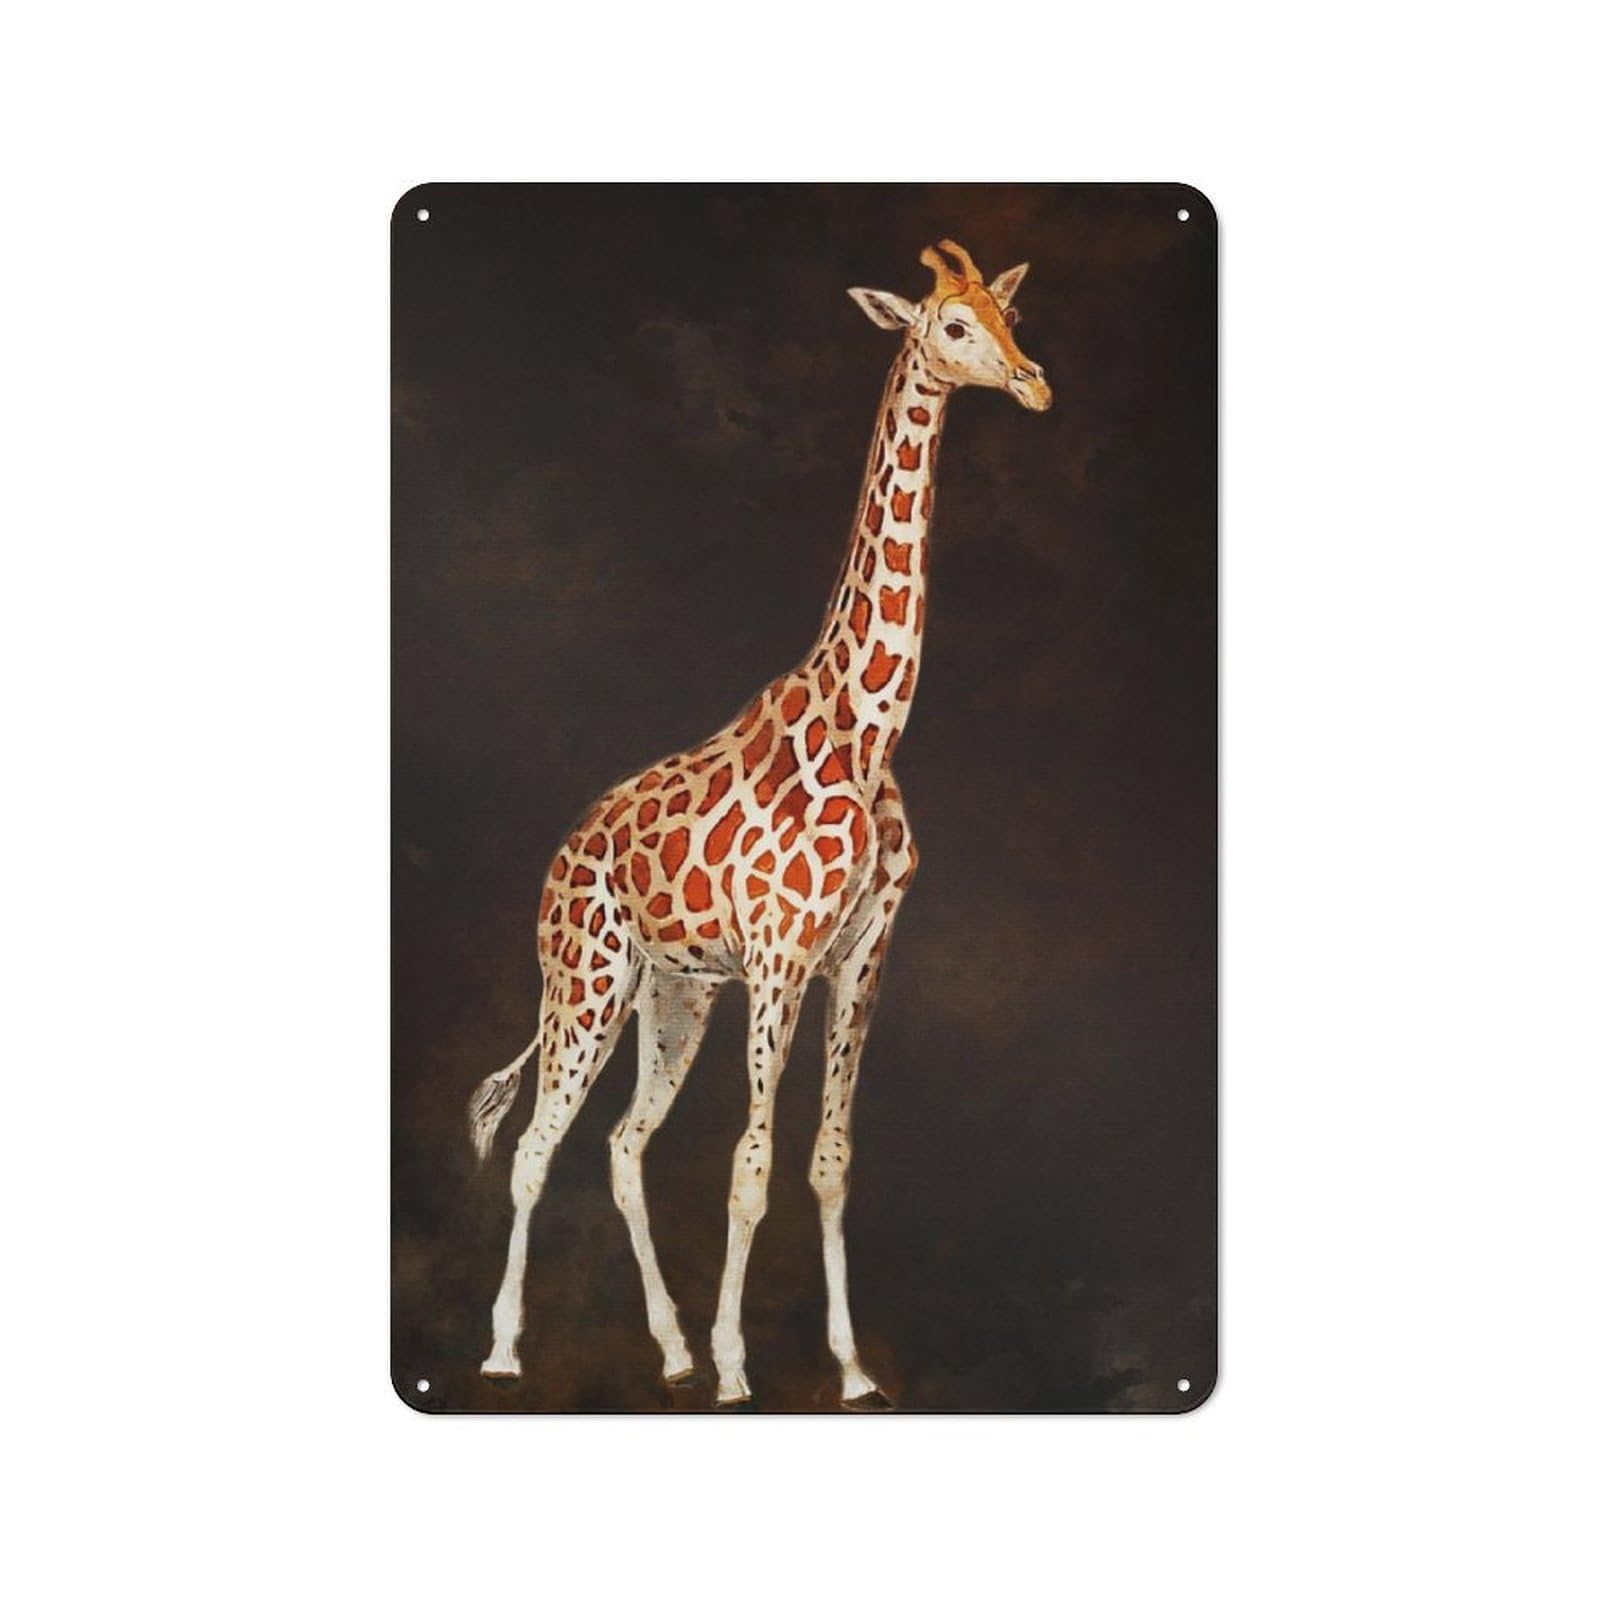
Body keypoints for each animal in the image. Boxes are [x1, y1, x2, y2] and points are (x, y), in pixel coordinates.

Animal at [468, 239, 1051, 1408]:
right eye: (952, 326)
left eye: (1007, 316)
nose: (1032, 382)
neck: (867, 731)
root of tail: (560, 858)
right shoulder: (780, 957)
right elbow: (750, 1168)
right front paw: (742, 1366)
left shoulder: (861, 953)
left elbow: (828, 1162)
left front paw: (851, 1368)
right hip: (584, 982)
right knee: (534, 1143)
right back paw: (508, 1348)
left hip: (672, 992)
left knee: (622, 1143)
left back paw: (670, 1348)